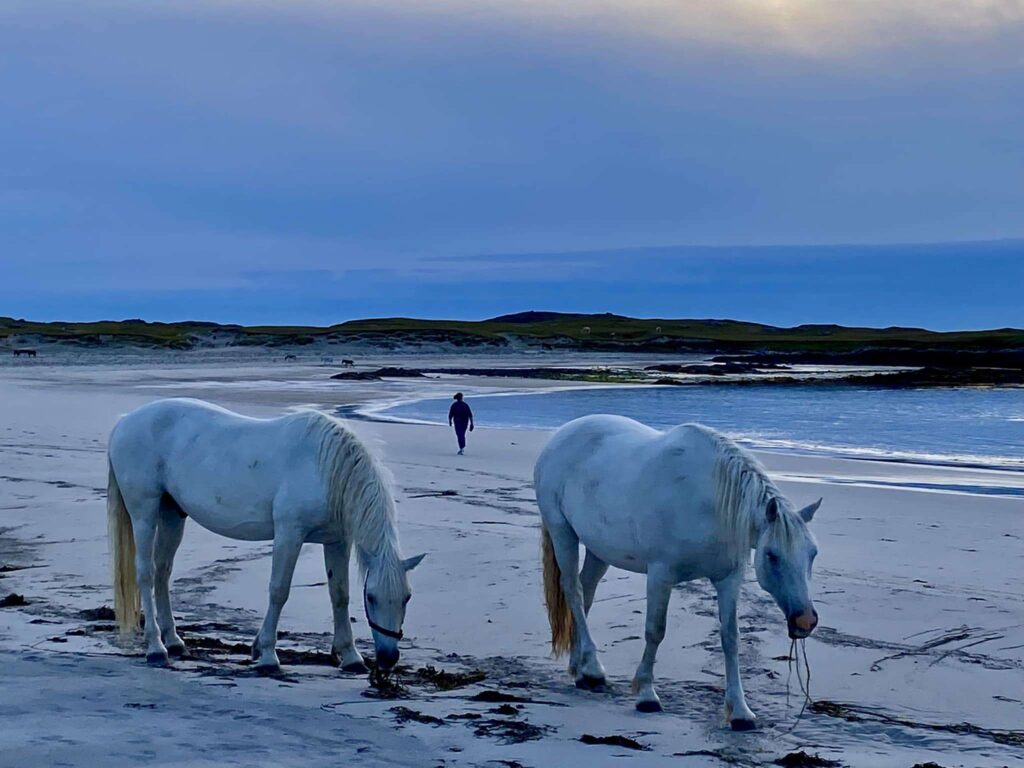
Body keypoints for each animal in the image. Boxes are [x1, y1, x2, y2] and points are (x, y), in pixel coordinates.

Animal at [104, 399, 423, 675]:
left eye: (407, 597)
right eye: (371, 597)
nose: (388, 658)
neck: (324, 470)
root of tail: (124, 422)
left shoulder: (337, 541)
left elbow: (339, 594)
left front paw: (350, 656)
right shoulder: (289, 534)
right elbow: (279, 590)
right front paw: (268, 655)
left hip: (172, 513)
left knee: (162, 572)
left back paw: (174, 642)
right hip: (144, 511)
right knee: (145, 574)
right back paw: (156, 648)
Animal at [532, 417, 819, 729]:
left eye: (812, 554)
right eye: (772, 555)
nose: (805, 621)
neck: (708, 503)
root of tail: (561, 434)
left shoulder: (728, 580)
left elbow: (731, 638)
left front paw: (740, 711)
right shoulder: (661, 574)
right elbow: (655, 630)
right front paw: (646, 694)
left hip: (600, 549)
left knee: (586, 592)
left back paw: (580, 667)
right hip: (562, 532)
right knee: (573, 590)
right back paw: (593, 669)